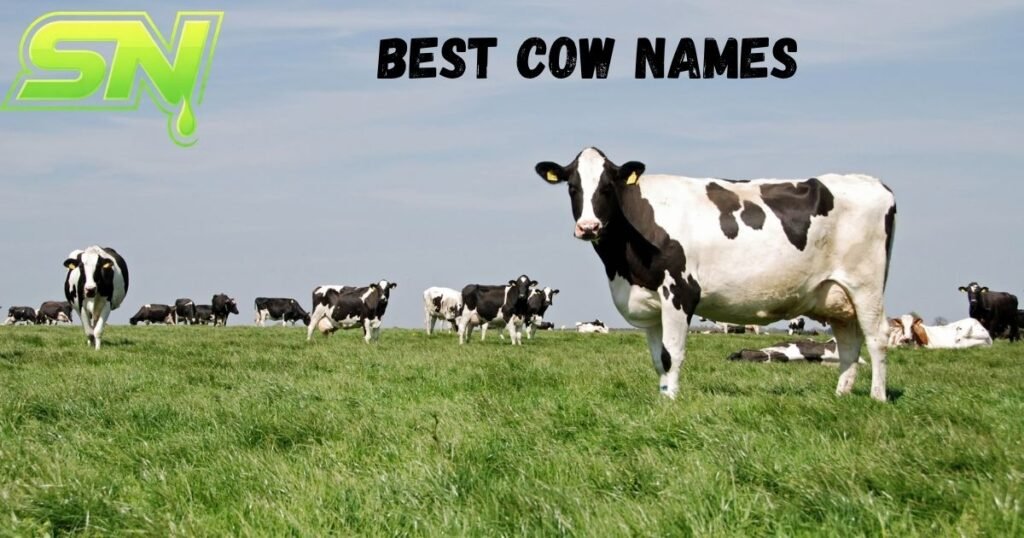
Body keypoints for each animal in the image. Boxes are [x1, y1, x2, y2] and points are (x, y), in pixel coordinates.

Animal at [536, 147, 895, 400]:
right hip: (836, 294)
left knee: (877, 337)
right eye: (572, 187)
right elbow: (658, 358)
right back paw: (841, 396)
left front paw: (670, 403)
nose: (589, 226)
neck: (623, 268)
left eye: (608, 186)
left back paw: (876, 398)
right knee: (848, 343)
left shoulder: (680, 292)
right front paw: (662, 398)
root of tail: (874, 182)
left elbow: (672, 354)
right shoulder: (649, 304)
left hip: (866, 285)